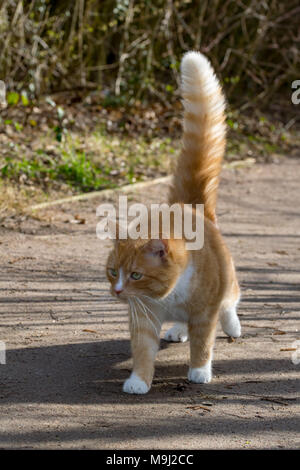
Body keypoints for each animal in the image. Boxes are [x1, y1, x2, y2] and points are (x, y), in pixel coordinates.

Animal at [105, 51, 241, 394]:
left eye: (136, 275)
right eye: (113, 272)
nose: (117, 291)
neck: (168, 295)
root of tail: (189, 206)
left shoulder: (204, 313)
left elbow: (202, 343)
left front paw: (199, 370)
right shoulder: (142, 315)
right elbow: (142, 350)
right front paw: (139, 380)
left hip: (226, 282)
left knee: (230, 300)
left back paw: (232, 325)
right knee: (185, 322)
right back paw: (178, 329)